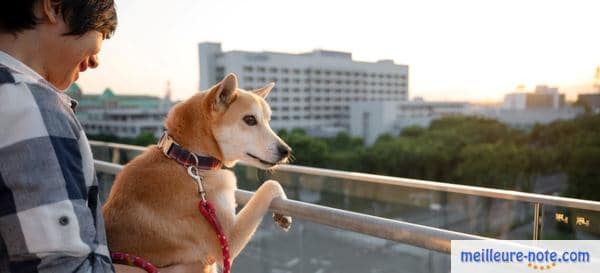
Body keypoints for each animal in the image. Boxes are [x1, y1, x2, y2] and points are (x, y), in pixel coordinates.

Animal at [103, 73, 296, 270]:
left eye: (268, 121)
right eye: (250, 120)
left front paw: (284, 215)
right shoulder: (228, 239)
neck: (188, 159)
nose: (286, 150)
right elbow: (269, 185)